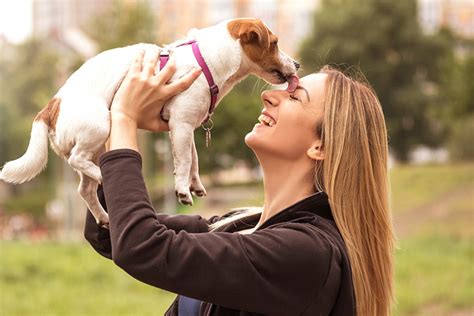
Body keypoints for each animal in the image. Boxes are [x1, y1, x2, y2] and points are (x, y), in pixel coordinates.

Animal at [0, 17, 298, 227]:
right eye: (275, 43)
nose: (296, 64)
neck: (208, 61)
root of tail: (51, 106)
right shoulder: (181, 124)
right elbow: (185, 161)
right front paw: (182, 190)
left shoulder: (186, 127)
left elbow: (192, 160)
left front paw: (195, 184)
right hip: (100, 125)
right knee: (78, 160)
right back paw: (102, 176)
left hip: (96, 147)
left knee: (84, 189)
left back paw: (103, 215)